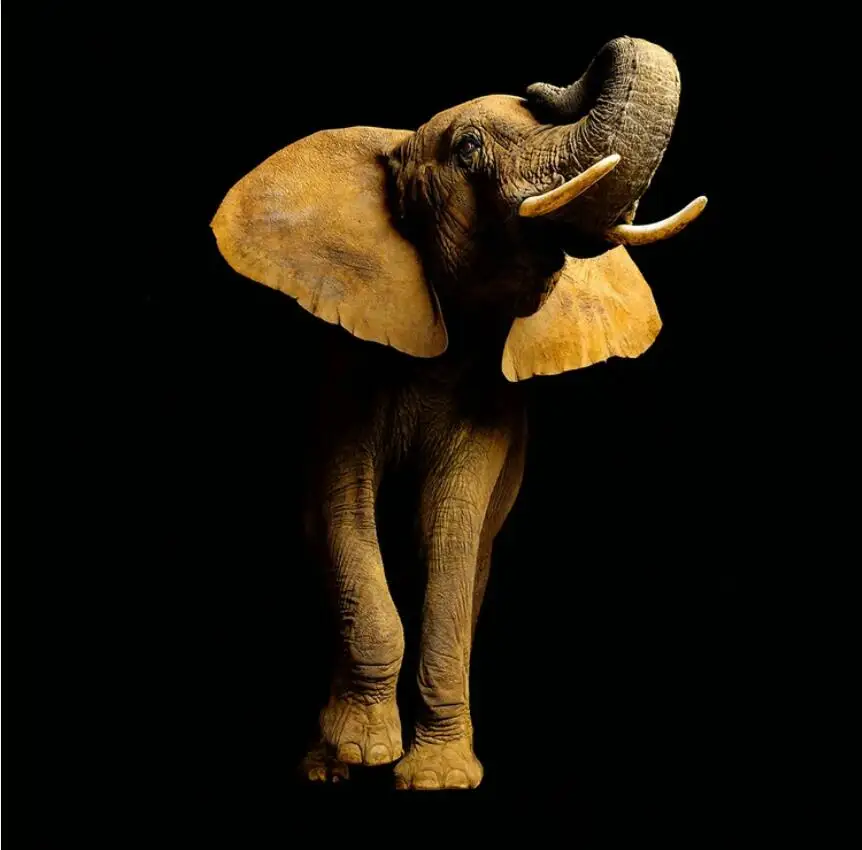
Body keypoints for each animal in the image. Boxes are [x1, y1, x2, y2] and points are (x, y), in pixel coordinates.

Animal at [210, 35, 706, 791]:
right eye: (468, 149)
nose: (547, 82)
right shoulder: (350, 357)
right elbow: (347, 503)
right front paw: (362, 751)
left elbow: (449, 522)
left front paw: (438, 777)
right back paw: (325, 767)